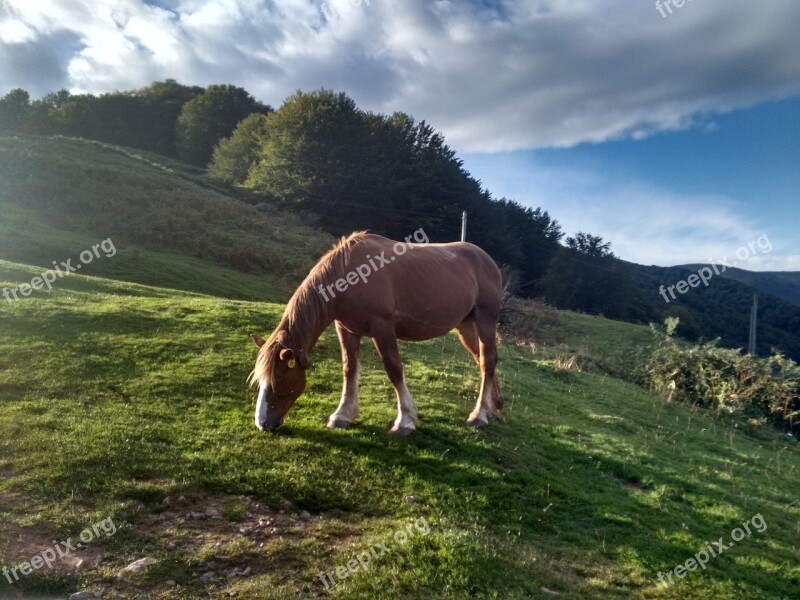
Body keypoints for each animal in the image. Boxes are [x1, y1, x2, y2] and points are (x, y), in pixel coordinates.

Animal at [247, 231, 504, 436]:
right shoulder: (346, 329)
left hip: (485, 321)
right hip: (465, 326)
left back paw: (479, 415)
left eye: (278, 380)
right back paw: (492, 407)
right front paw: (342, 415)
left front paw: (405, 421)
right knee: (482, 361)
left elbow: (394, 369)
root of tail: (488, 260)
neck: (348, 273)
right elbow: (349, 369)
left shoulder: (382, 328)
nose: (263, 424)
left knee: (488, 361)